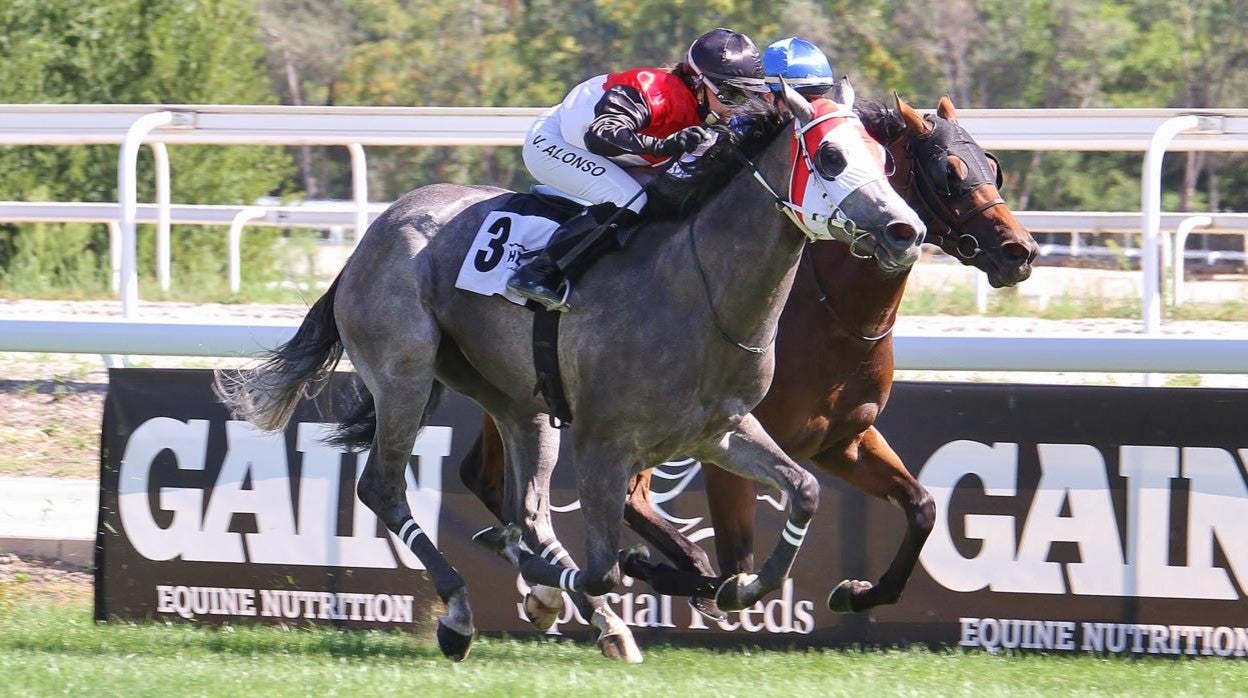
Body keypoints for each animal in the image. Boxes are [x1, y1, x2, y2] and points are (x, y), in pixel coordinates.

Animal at [214, 81, 923, 659]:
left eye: (886, 161)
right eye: (830, 158)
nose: (905, 231)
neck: (701, 289)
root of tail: (376, 230)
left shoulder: (719, 431)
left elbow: (799, 493)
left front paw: (748, 590)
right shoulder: (604, 443)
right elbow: (609, 564)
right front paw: (580, 580)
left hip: (520, 403)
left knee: (526, 508)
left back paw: (586, 611)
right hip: (406, 377)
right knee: (385, 490)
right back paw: (466, 610)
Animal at [456, 94, 1033, 629]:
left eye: (992, 166)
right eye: (948, 173)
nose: (1020, 251)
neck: (827, 311)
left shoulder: (842, 441)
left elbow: (922, 508)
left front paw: (856, 593)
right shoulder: (720, 444)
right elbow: (733, 565)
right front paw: (661, 572)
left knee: (488, 479)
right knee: (570, 493)